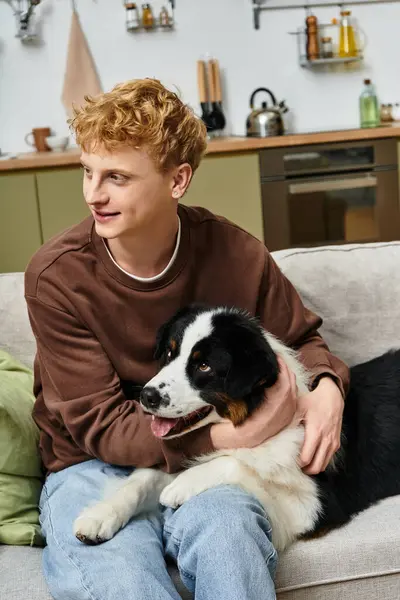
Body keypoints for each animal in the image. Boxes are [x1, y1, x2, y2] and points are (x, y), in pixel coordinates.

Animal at [73, 304, 400, 552]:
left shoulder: (314, 507)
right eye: (169, 354)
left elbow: (239, 466)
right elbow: (139, 481)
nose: (147, 396)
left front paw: (182, 484)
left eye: (204, 366)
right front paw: (100, 514)